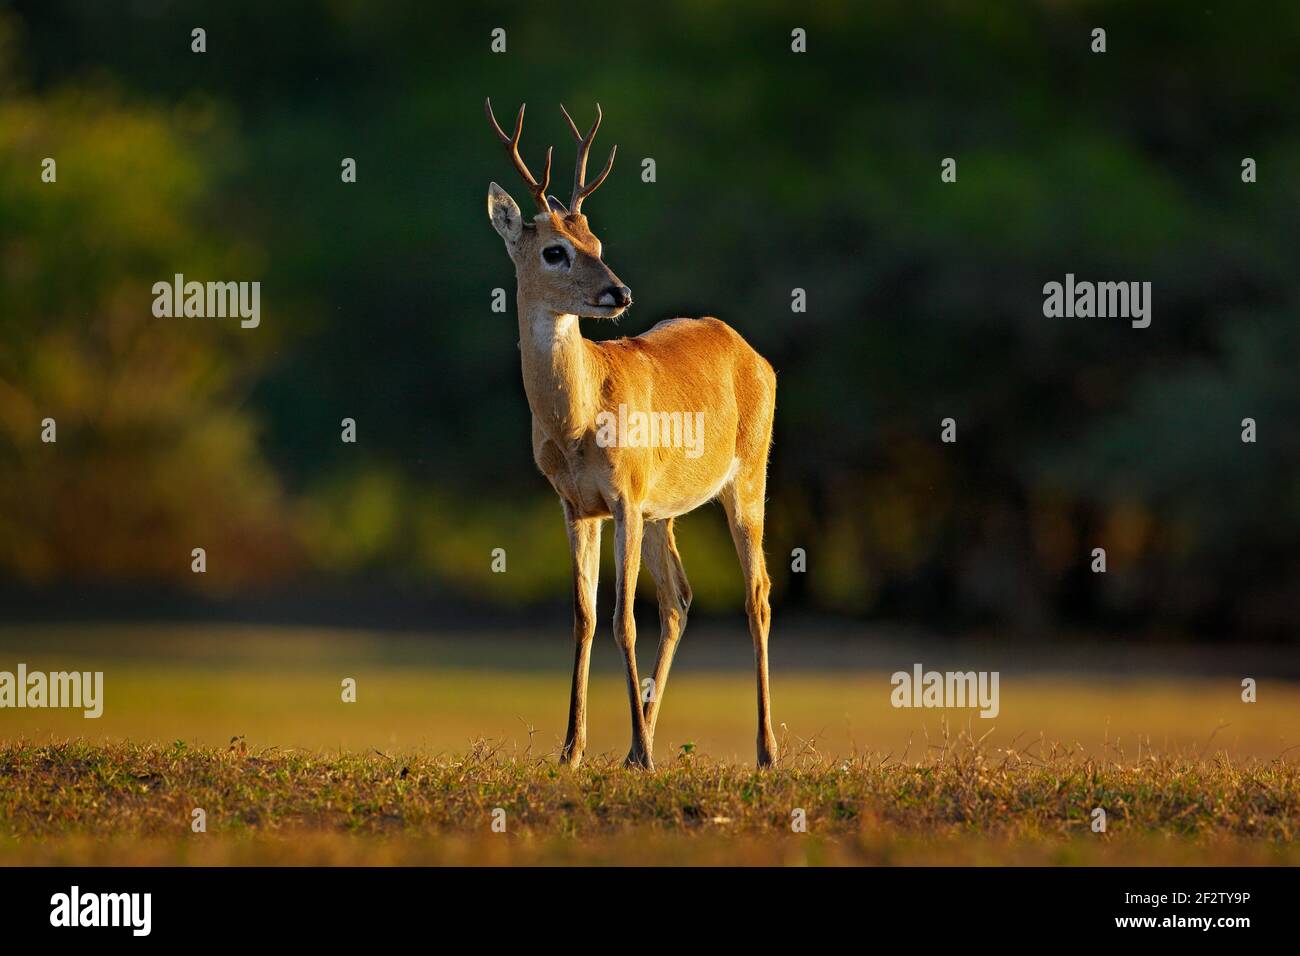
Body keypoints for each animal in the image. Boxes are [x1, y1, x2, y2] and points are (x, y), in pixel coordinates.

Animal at [484, 99, 778, 770]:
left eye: (596, 240)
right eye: (555, 251)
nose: (618, 291)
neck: (578, 419)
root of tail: (752, 352)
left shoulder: (625, 496)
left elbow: (623, 620)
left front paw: (637, 751)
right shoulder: (577, 506)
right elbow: (585, 617)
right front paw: (572, 749)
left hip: (747, 476)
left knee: (757, 593)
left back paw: (765, 749)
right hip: (665, 510)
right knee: (680, 598)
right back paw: (639, 739)